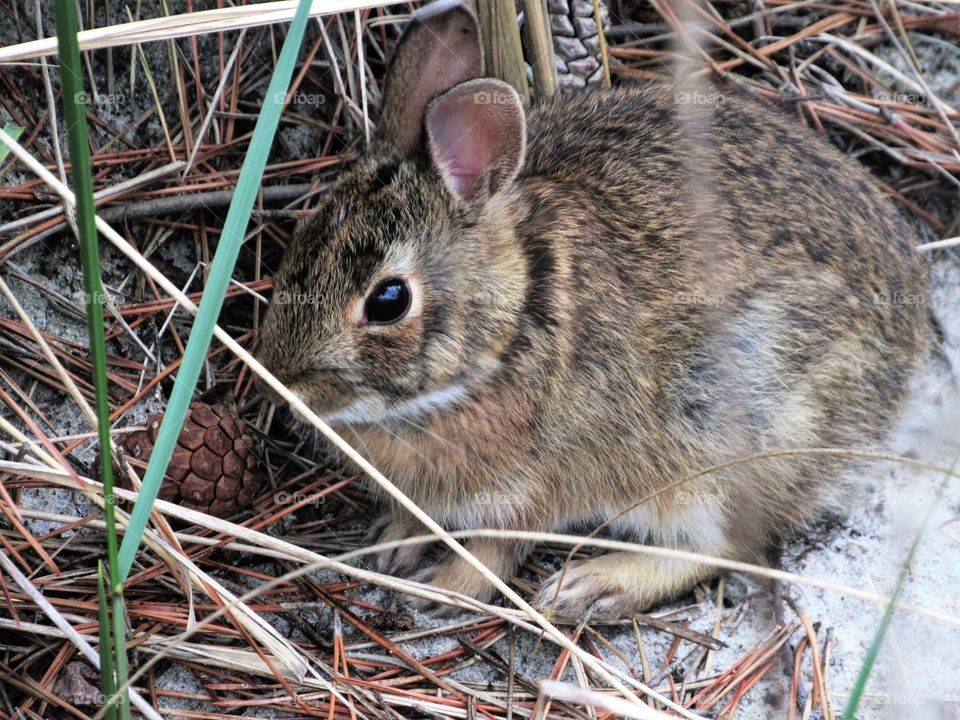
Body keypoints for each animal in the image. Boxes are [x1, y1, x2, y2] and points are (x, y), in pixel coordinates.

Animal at [255, 0, 928, 620]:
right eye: (300, 244)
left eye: (388, 300)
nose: (281, 387)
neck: (512, 330)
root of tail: (911, 336)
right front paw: (392, 544)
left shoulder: (533, 489)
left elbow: (497, 551)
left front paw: (447, 589)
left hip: (734, 433)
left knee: (724, 546)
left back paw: (595, 585)